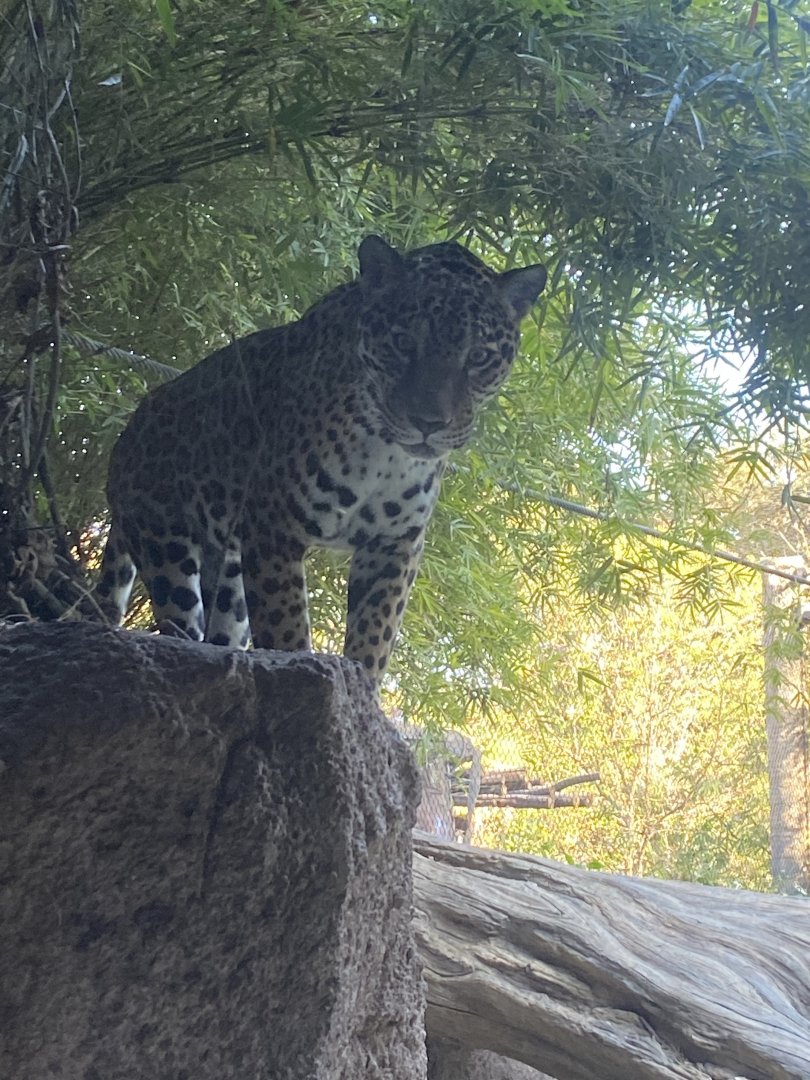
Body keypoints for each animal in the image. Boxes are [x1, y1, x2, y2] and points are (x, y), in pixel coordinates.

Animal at [98, 235, 547, 686]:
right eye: (403, 343)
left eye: (479, 357)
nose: (428, 424)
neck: (386, 452)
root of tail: (127, 431)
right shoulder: (274, 530)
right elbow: (287, 629)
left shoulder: (395, 543)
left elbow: (375, 636)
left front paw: (363, 689)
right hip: (165, 545)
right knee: (179, 623)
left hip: (230, 579)